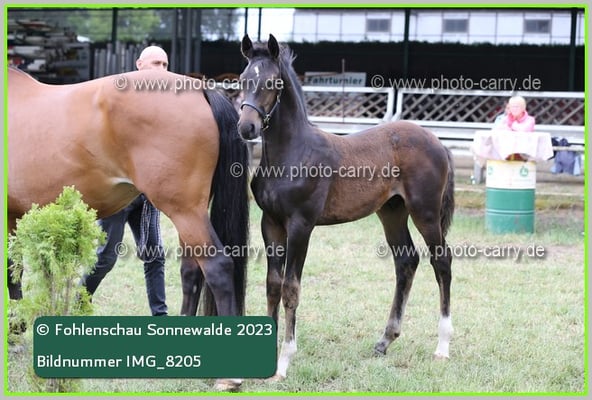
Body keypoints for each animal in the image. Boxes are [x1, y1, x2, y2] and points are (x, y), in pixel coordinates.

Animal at [7, 67, 250, 389]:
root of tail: (200, 88)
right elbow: (15, 271)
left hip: (185, 211)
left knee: (217, 267)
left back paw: (229, 378)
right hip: (190, 213)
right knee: (191, 272)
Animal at [237, 34, 455, 380]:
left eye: (272, 82)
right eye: (243, 79)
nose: (247, 127)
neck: (293, 153)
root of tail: (437, 142)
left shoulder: (301, 225)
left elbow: (290, 288)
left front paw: (284, 362)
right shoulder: (270, 223)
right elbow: (272, 285)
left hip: (427, 213)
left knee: (442, 262)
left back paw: (442, 347)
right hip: (392, 212)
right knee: (406, 260)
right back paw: (385, 340)